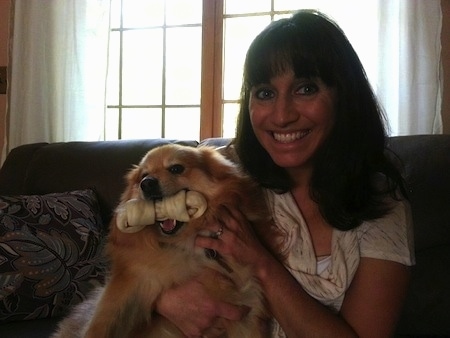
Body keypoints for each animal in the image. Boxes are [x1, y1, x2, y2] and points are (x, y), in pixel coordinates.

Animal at [51, 145, 278, 338]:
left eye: (176, 168)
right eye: (143, 175)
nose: (147, 184)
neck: (186, 243)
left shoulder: (246, 307)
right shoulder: (130, 283)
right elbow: (100, 326)